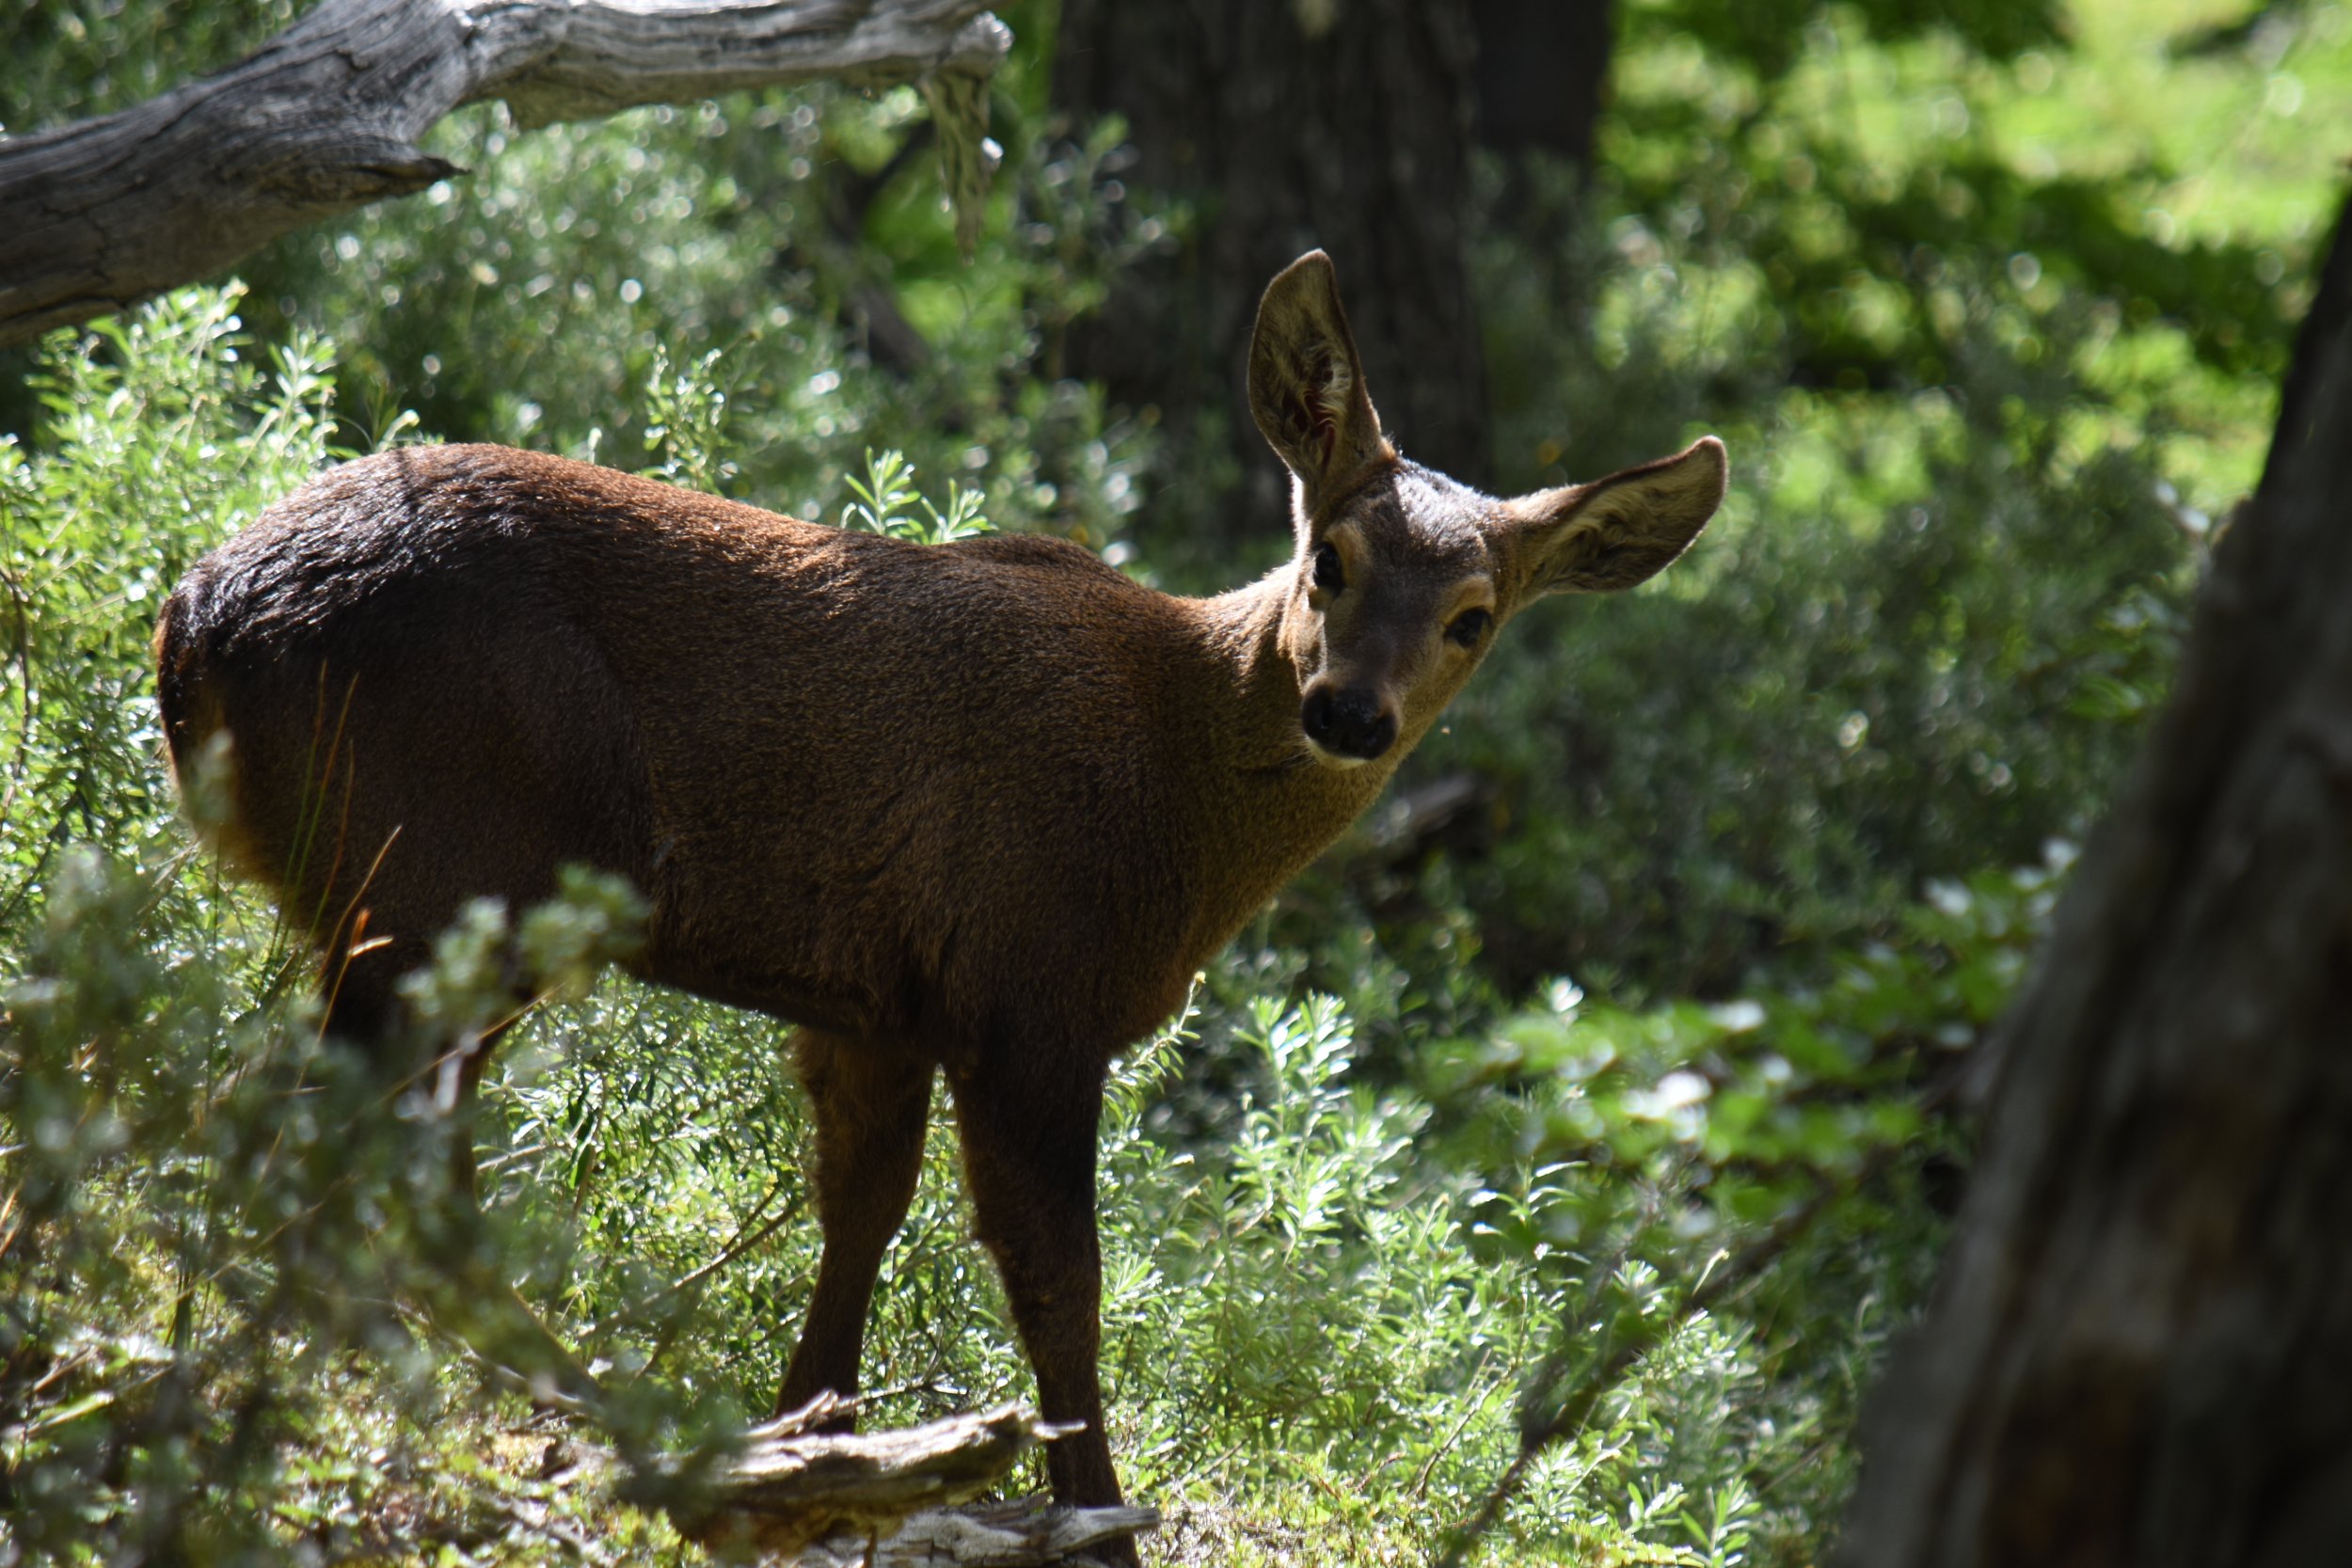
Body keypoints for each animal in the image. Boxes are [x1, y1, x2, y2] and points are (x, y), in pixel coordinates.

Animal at [151, 247, 1731, 1542]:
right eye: (1326, 556)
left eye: (1474, 617)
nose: (1348, 712)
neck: (1178, 808)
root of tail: (194, 626)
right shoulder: (1032, 988)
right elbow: (1059, 1279)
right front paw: (1087, 1512)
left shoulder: (880, 999)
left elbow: (862, 1204)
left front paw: (816, 1436)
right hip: (445, 873)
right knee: (331, 1128)